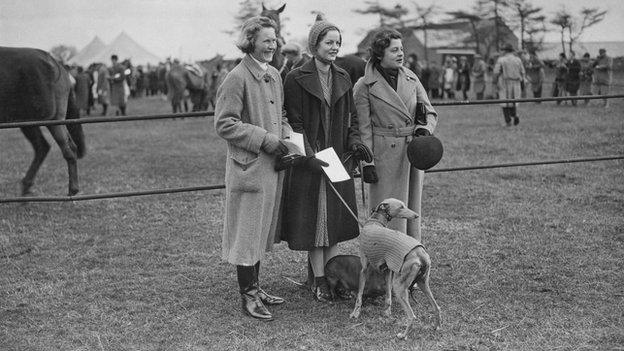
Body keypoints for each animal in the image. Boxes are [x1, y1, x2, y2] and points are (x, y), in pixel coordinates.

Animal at [348, 199, 442, 340]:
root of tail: (420, 254)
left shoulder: (364, 270)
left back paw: (403, 335)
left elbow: (359, 295)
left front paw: (355, 313)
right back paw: (436, 327)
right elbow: (387, 295)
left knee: (412, 316)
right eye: (401, 207)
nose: (416, 215)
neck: (375, 221)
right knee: (436, 307)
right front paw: (387, 313)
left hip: (399, 287)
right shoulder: (388, 271)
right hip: (422, 282)